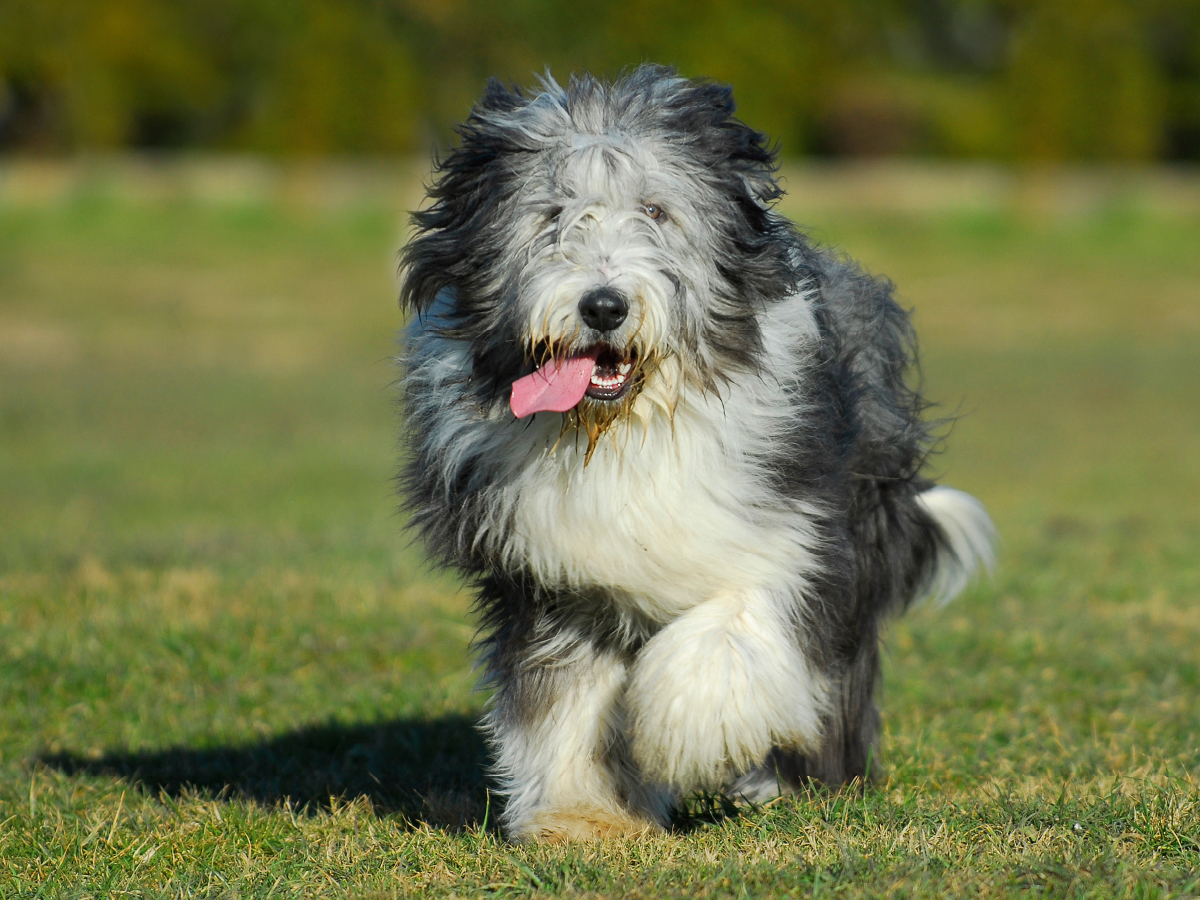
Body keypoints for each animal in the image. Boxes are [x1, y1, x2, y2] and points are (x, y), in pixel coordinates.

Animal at [396, 65, 993, 844]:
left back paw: (800, 780)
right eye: (552, 214)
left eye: (656, 210)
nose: (604, 306)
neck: (626, 430)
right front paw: (584, 816)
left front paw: (688, 731)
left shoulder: (794, 527)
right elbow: (566, 696)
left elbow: (732, 625)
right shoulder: (557, 573)